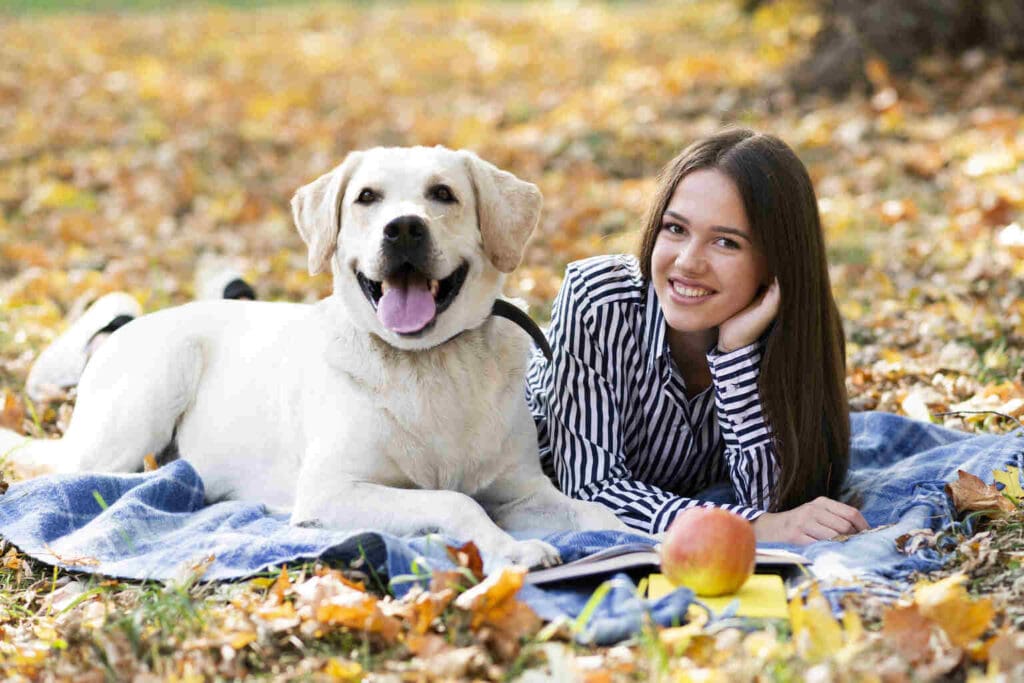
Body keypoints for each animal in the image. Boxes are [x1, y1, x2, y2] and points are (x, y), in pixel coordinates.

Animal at [2, 147, 622, 569]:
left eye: (443, 194)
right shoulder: (332, 491)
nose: (403, 229)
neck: (428, 362)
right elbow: (454, 502)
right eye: (367, 197)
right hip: (143, 402)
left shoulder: (524, 489)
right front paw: (510, 551)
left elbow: (595, 514)